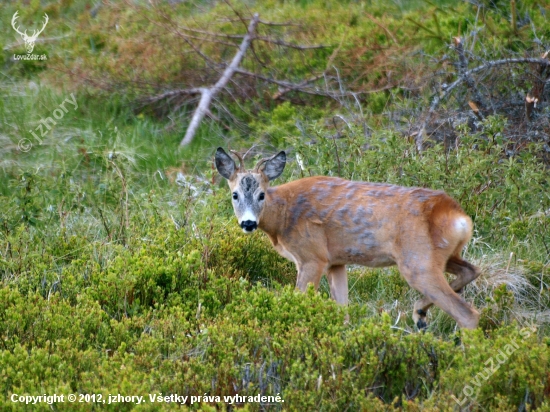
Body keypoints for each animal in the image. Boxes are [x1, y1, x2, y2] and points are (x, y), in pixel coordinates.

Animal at [216, 146, 484, 330]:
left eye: (261, 194)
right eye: (234, 195)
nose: (248, 223)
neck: (283, 217)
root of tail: (458, 216)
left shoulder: (312, 257)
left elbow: (298, 300)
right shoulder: (336, 262)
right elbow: (343, 311)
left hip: (417, 260)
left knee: (468, 314)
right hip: (443, 255)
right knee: (472, 270)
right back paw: (419, 314)